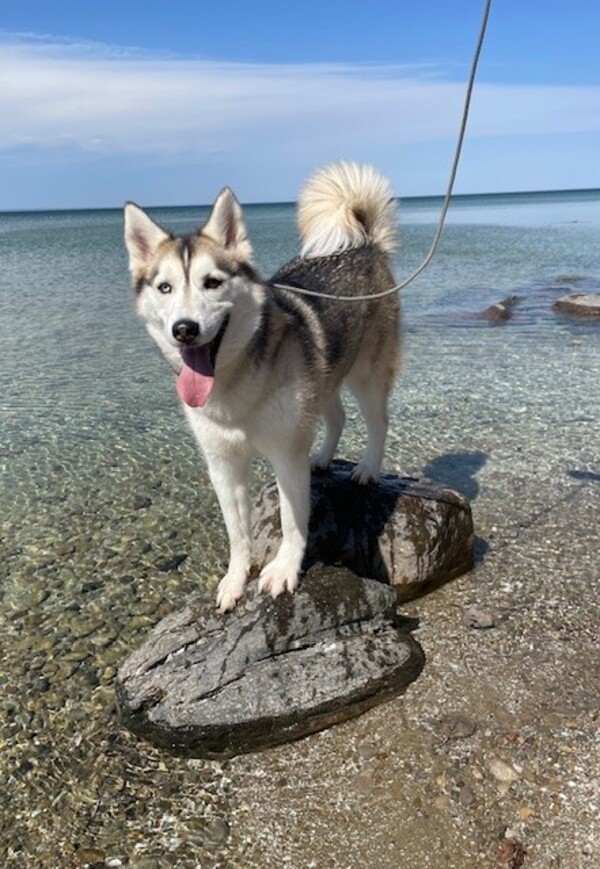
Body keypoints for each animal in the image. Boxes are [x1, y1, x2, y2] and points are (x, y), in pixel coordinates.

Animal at [124, 163, 400, 612]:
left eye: (212, 282)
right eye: (165, 288)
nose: (185, 329)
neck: (232, 386)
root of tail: (365, 246)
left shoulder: (286, 455)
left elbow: (291, 520)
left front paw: (284, 569)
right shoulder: (223, 464)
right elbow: (237, 533)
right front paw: (235, 580)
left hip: (367, 374)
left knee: (378, 422)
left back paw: (367, 469)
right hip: (321, 381)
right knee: (337, 416)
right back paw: (324, 457)